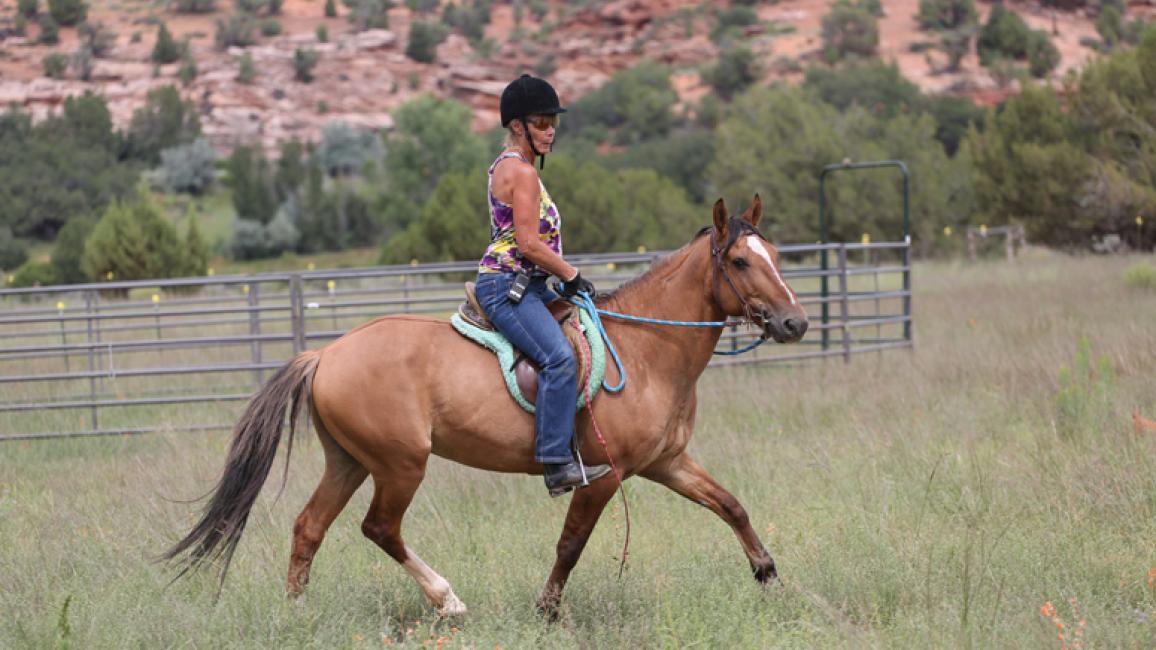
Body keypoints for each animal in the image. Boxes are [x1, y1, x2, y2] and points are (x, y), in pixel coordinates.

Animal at [164, 195, 809, 617]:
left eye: (776, 254)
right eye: (742, 261)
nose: (795, 323)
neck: (645, 346)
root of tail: (325, 354)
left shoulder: (666, 463)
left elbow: (731, 506)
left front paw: (769, 576)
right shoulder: (602, 476)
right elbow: (571, 544)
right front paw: (546, 611)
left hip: (349, 462)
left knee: (309, 528)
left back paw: (298, 613)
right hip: (400, 465)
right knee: (379, 528)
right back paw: (447, 600)